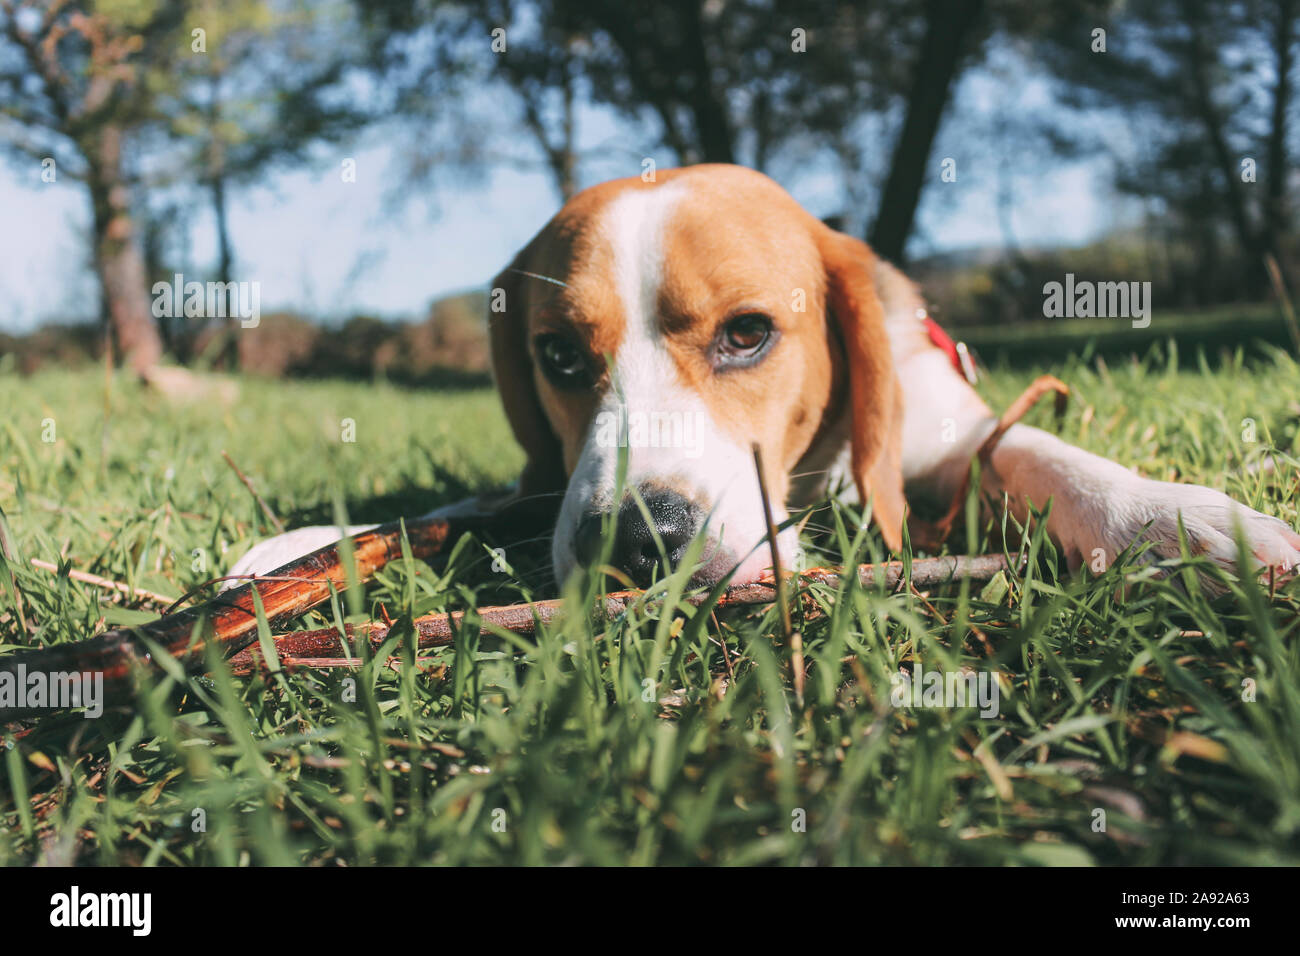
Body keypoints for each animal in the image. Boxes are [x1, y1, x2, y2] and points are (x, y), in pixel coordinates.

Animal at [233, 164, 1300, 590]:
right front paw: (307, 543)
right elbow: (474, 502)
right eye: (560, 357)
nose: (639, 539)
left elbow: (1036, 449)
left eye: (747, 335)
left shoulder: (949, 434)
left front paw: (1171, 518)